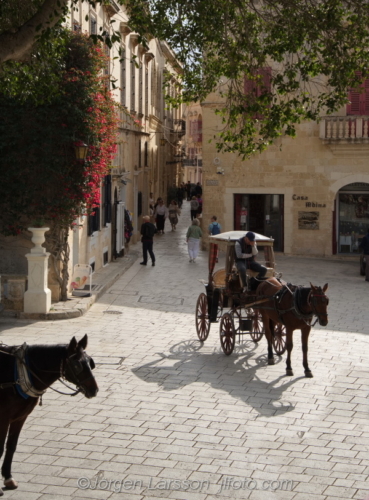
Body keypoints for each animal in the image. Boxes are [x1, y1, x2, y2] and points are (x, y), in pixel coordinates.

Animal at [0, 334, 98, 494]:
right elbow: (0, 448)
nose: (94, 390)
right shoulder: (3, 418)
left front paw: (8, 477)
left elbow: (11, 446)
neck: (17, 372)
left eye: (90, 362)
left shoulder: (20, 417)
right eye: (77, 365)